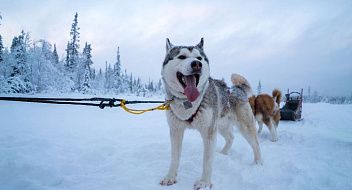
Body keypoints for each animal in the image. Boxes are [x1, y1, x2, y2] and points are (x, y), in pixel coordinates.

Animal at [160, 37, 262, 189]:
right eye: (182, 56)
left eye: (199, 58)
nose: (197, 64)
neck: (187, 103)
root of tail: (237, 89)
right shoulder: (176, 130)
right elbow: (175, 158)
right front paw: (170, 177)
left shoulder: (209, 133)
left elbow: (207, 161)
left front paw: (204, 182)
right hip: (221, 126)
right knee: (231, 137)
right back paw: (223, 153)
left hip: (244, 127)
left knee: (255, 144)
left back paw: (258, 164)